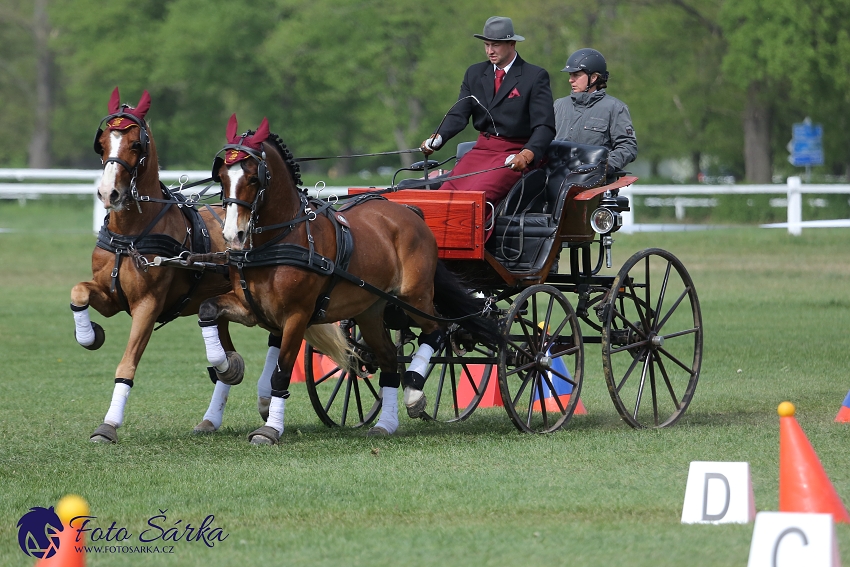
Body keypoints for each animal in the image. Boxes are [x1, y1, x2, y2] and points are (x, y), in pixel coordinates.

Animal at [69, 89, 348, 444]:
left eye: (135, 145)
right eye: (103, 143)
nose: (109, 193)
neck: (133, 233)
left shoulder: (147, 305)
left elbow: (128, 363)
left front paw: (108, 425)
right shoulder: (111, 296)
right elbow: (79, 292)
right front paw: (90, 335)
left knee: (275, 337)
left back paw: (261, 397)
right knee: (233, 343)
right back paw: (215, 412)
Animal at [198, 115, 496, 444]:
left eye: (253, 178)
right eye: (222, 176)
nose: (232, 235)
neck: (281, 238)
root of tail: (410, 211)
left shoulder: (297, 316)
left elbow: (282, 371)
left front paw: (271, 429)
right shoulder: (253, 309)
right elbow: (207, 309)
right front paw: (226, 367)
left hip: (415, 296)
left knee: (436, 332)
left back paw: (414, 392)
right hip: (371, 310)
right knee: (389, 360)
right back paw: (386, 423)